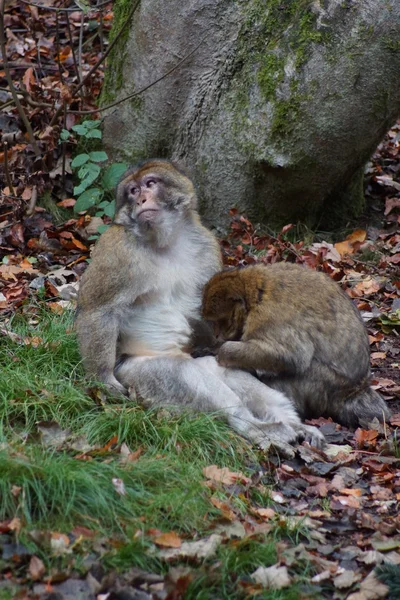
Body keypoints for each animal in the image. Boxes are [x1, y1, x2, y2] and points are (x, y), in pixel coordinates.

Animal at [76, 159, 324, 450]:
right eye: (133, 191)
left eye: (150, 184)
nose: (141, 200)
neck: (164, 241)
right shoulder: (116, 250)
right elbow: (99, 310)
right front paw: (103, 380)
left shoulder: (206, 245)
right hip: (142, 379)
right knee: (183, 374)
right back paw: (255, 427)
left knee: (222, 369)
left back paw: (291, 424)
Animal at [203, 262, 390, 426]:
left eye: (220, 321)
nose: (216, 334)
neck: (255, 293)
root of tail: (357, 390)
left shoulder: (268, 316)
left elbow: (290, 357)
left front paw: (223, 352)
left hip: (325, 387)